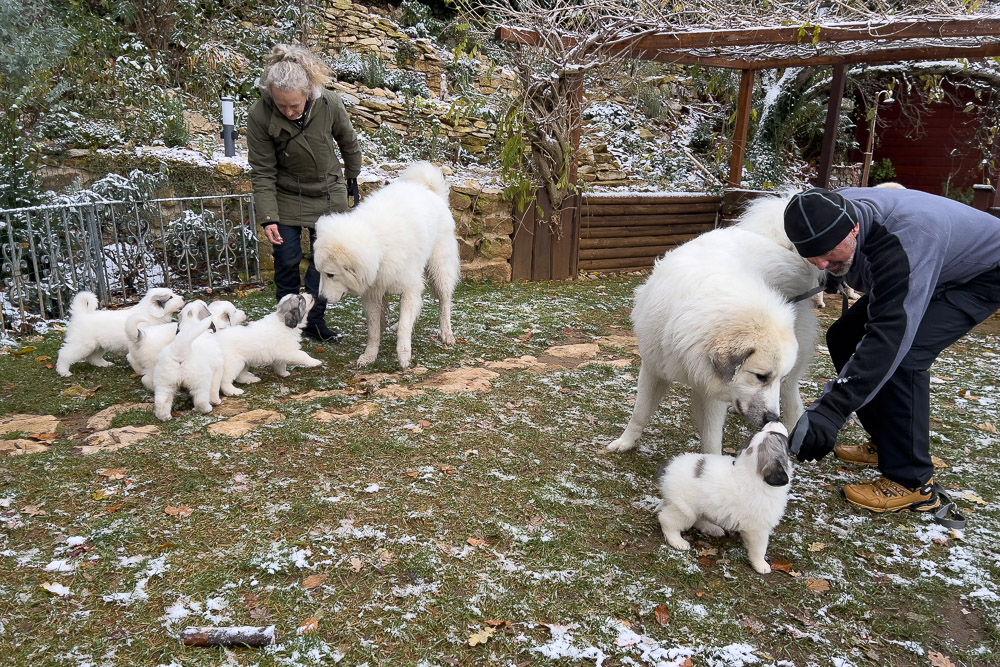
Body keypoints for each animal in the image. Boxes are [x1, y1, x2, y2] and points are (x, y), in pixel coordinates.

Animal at [55, 288, 186, 378]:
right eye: (170, 297)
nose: (183, 298)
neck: (150, 313)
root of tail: (82, 313)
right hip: (82, 343)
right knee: (65, 354)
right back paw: (64, 371)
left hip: (98, 344)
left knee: (93, 357)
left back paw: (104, 364)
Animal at [312, 162, 460, 370]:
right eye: (319, 273)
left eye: (330, 274)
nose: (321, 298)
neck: (378, 242)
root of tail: (430, 191)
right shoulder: (373, 292)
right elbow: (374, 330)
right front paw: (369, 356)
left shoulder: (409, 286)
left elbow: (405, 325)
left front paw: (404, 356)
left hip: (439, 269)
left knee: (444, 302)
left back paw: (446, 333)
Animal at [604, 198, 816, 456]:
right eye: (761, 377)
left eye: (774, 378)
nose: (771, 418)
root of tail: (780, 244)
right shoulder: (654, 367)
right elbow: (640, 412)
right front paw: (626, 441)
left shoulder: (711, 390)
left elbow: (711, 439)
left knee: (792, 397)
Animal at [660, 422, 792, 576]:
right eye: (780, 438)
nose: (773, 421)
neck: (751, 471)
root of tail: (668, 470)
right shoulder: (758, 529)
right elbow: (759, 549)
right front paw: (761, 564)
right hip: (684, 509)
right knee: (667, 520)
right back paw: (677, 541)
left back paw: (712, 528)